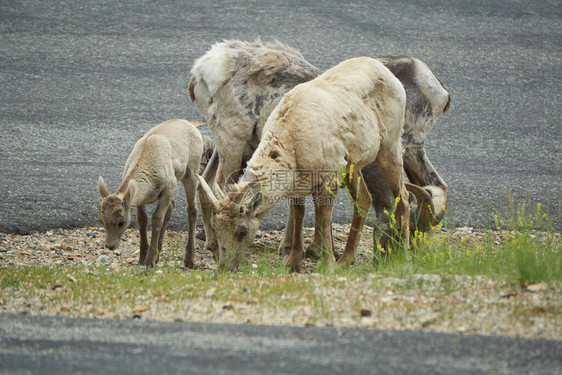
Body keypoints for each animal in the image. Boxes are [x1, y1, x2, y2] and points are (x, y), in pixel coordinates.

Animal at [97, 119, 202, 268]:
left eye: (121, 223)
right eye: (101, 220)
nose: (110, 246)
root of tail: (190, 124)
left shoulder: (170, 186)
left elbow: (157, 218)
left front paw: (149, 261)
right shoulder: (140, 200)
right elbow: (143, 220)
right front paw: (142, 258)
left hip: (191, 173)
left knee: (192, 209)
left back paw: (189, 260)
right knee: (172, 206)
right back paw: (160, 252)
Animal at [188, 40, 446, 258]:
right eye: (409, 229)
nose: (394, 260)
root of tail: (201, 69)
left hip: (226, 145)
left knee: (207, 182)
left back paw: (210, 242)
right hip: (231, 141)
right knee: (220, 184)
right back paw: (214, 245)